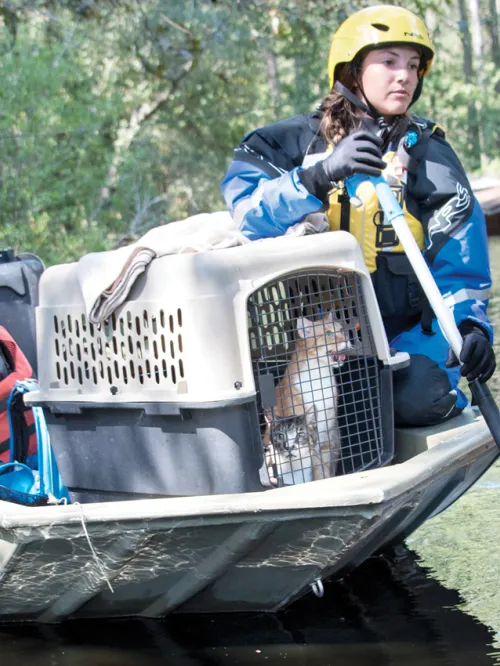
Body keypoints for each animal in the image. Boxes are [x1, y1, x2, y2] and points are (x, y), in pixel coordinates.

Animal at [248, 268, 392, 486]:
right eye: (330, 334)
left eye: (341, 330)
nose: (348, 339)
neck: (319, 375)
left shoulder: (325, 434)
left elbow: (322, 470)